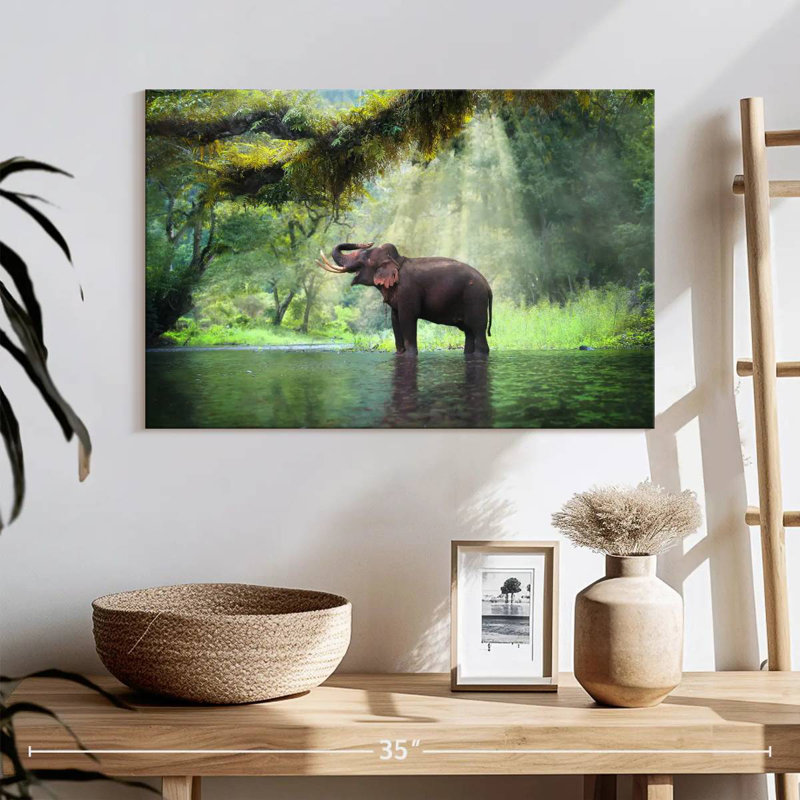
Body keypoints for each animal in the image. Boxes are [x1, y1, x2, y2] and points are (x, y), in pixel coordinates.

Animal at [316, 242, 493, 355]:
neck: (397, 261)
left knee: (478, 330)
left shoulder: (408, 290)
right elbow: (395, 320)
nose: (367, 242)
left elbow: (407, 318)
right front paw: (399, 353)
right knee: (469, 332)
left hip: (475, 299)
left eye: (364, 258)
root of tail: (488, 286)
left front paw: (410, 354)